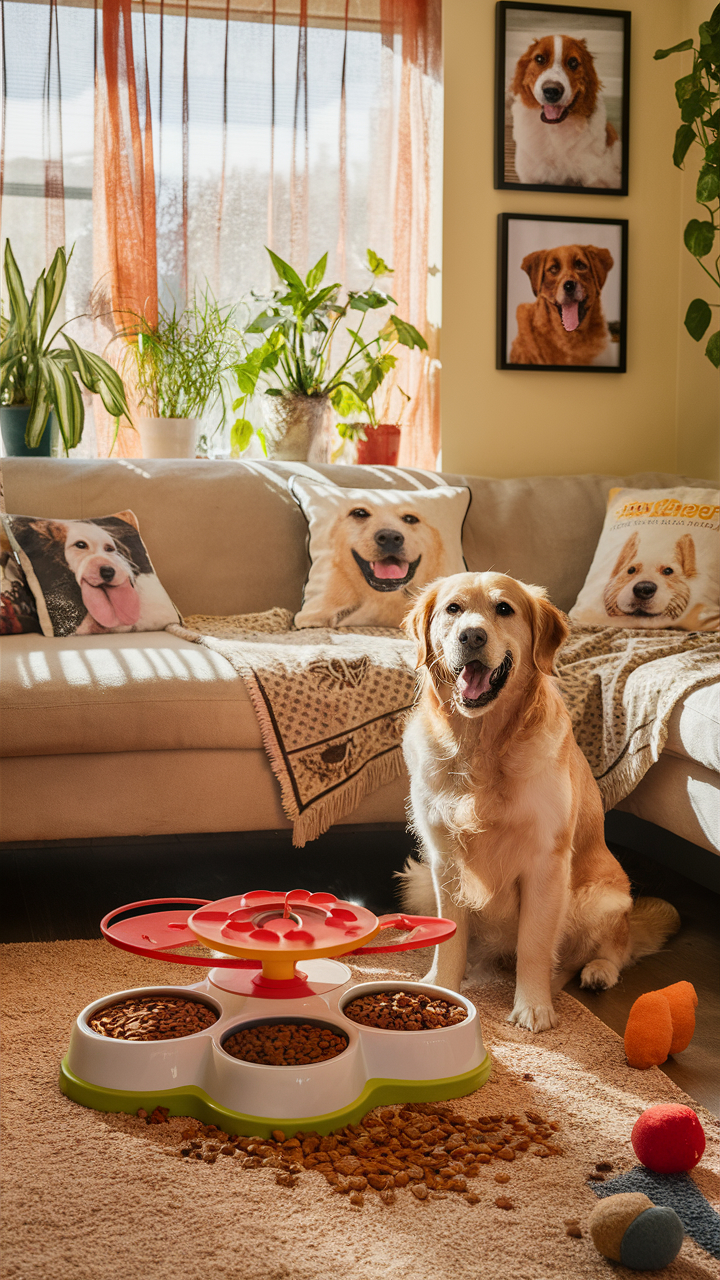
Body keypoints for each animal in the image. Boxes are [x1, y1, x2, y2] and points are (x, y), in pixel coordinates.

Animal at [399, 570, 676, 1029]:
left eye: (504, 609)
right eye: (453, 609)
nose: (471, 636)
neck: (481, 747)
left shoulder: (546, 863)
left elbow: (535, 944)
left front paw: (533, 1006)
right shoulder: (443, 859)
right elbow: (451, 937)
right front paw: (442, 985)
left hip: (600, 897)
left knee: (616, 946)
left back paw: (595, 972)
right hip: (420, 879)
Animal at [507, 33, 620, 186]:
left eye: (573, 62)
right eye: (539, 59)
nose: (552, 91)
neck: (554, 130)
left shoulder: (594, 178)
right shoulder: (529, 176)